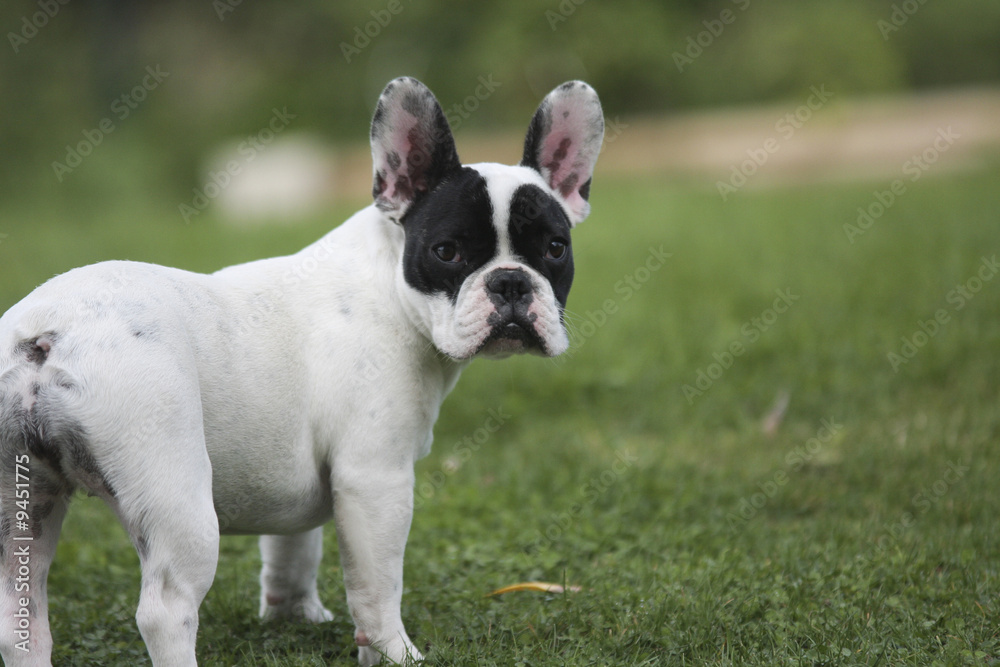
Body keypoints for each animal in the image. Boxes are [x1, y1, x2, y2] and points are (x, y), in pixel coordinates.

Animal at [0, 77, 600, 664]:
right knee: (165, 611)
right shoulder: (374, 479)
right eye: (447, 252)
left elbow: (294, 551)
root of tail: (47, 335)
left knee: (20, 619)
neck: (388, 283)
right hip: (175, 492)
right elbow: (377, 587)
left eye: (555, 248)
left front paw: (293, 618)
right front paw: (394, 652)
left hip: (24, 502)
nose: (510, 282)